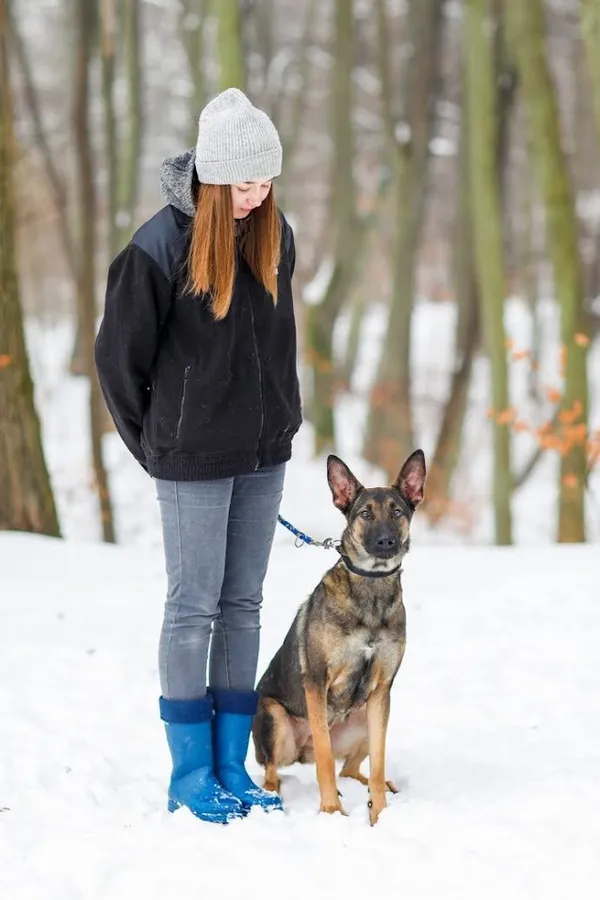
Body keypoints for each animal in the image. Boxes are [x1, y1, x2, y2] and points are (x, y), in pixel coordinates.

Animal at [252, 450, 426, 824]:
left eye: (397, 512)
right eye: (365, 514)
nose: (386, 542)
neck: (372, 590)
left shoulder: (381, 691)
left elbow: (377, 762)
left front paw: (380, 816)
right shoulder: (317, 682)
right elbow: (324, 758)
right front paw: (331, 811)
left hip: (365, 719)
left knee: (352, 768)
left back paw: (379, 787)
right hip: (274, 718)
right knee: (276, 769)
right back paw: (271, 794)